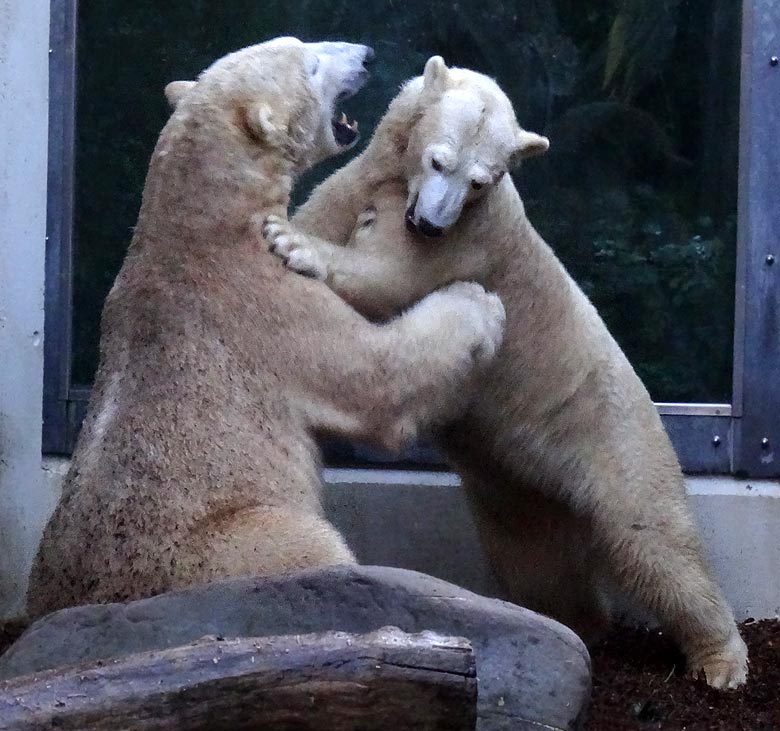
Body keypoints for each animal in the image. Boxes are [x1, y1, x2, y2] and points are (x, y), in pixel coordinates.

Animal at [25, 41, 506, 616]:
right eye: (311, 63)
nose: (366, 55)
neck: (200, 219)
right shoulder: (263, 301)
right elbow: (377, 377)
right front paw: (477, 301)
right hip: (235, 541)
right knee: (309, 543)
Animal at [266, 54, 752, 688]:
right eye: (439, 159)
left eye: (481, 180)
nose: (429, 224)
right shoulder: (367, 183)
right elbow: (329, 214)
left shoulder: (473, 242)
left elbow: (389, 279)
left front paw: (295, 245)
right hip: (516, 484)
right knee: (534, 557)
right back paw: (573, 623)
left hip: (615, 437)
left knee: (651, 539)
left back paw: (720, 661)